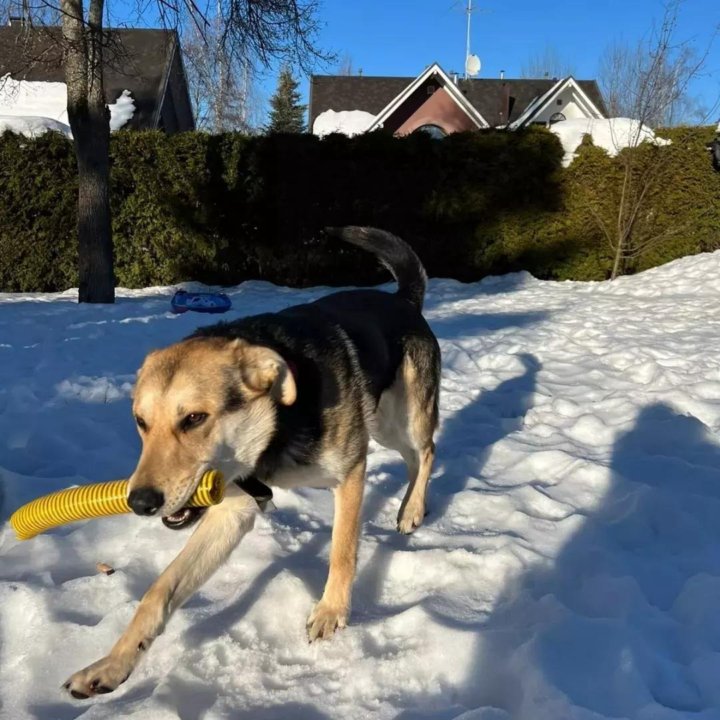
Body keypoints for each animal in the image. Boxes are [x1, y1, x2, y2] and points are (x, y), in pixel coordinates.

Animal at [64, 226, 442, 696]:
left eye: (194, 418)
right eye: (141, 422)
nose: (140, 503)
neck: (276, 425)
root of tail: (402, 299)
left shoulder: (350, 472)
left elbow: (342, 551)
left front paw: (331, 611)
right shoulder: (232, 510)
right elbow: (159, 591)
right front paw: (112, 665)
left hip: (397, 420)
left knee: (425, 451)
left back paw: (412, 510)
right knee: (416, 458)